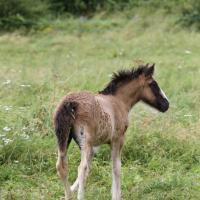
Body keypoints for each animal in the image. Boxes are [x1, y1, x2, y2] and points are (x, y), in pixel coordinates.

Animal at [53, 63, 169, 199]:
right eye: (153, 84)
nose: (166, 104)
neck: (119, 101)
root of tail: (70, 103)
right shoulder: (117, 139)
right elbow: (116, 167)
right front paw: (116, 195)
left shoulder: (92, 145)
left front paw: (71, 189)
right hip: (85, 140)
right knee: (81, 168)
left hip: (64, 138)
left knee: (62, 166)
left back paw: (68, 195)